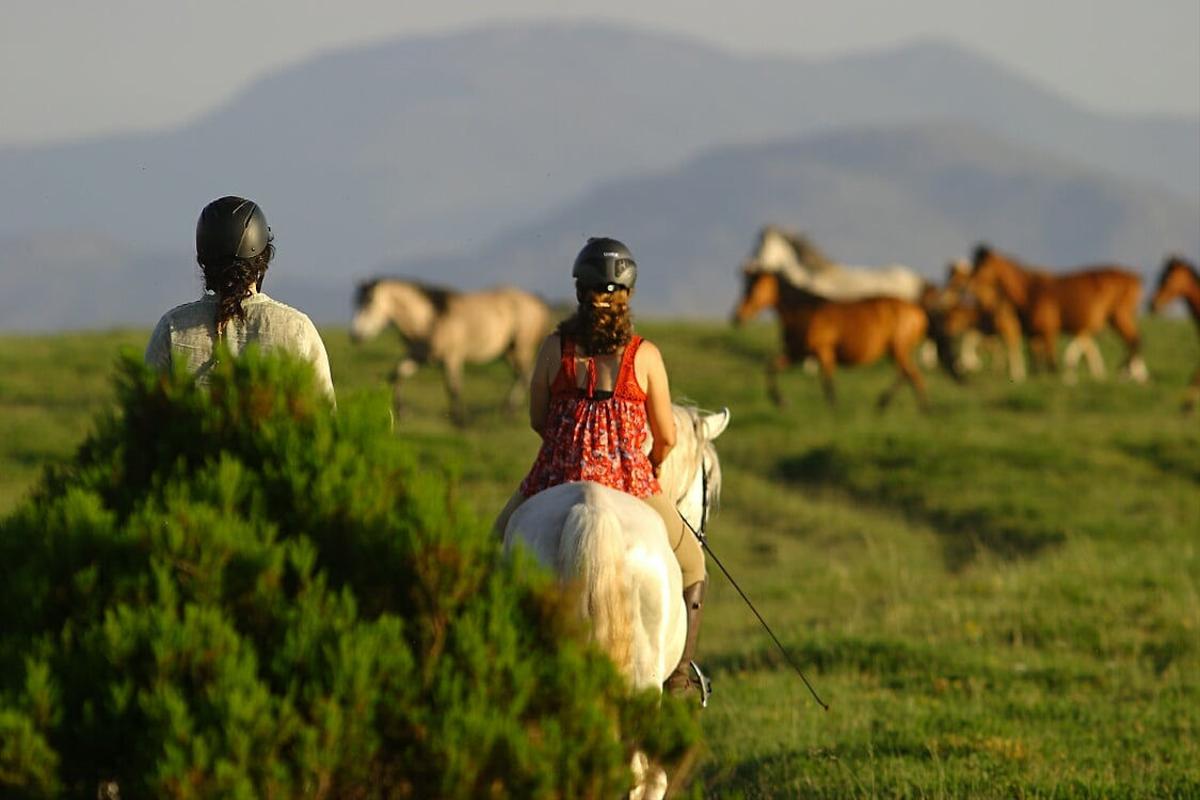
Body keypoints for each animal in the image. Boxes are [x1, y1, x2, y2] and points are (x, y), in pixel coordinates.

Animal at [729, 266, 926, 410]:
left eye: (755, 289)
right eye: (746, 287)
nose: (737, 316)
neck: (804, 312)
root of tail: (918, 313)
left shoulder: (823, 351)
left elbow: (828, 384)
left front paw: (834, 410)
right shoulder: (797, 354)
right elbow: (770, 368)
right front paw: (781, 401)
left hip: (899, 349)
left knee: (912, 375)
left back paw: (923, 408)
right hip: (897, 351)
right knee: (906, 374)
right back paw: (884, 403)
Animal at [969, 245, 1147, 383]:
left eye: (982, 265)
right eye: (975, 262)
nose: (971, 281)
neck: (1029, 292)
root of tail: (1135, 277)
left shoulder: (1049, 332)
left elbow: (1051, 363)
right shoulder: (1033, 335)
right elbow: (1035, 363)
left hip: (1119, 315)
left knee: (1133, 340)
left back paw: (1128, 372)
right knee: (1132, 340)